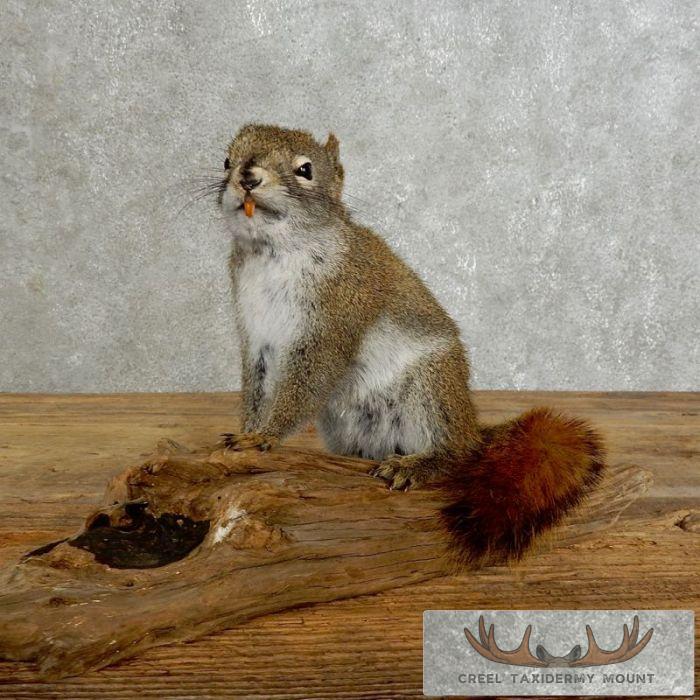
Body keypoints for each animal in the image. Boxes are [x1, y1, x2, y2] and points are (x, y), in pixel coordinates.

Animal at [216, 123, 604, 565]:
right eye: (226, 160)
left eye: (305, 169)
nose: (246, 177)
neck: (274, 254)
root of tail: (472, 430)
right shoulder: (257, 338)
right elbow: (256, 388)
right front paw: (247, 433)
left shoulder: (336, 320)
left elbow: (306, 384)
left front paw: (262, 437)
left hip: (431, 389)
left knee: (456, 456)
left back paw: (418, 465)